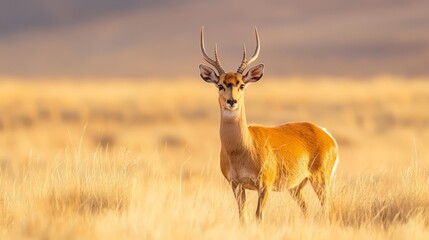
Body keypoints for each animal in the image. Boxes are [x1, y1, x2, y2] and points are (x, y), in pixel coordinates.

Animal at [199, 26, 340, 223]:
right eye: (220, 85)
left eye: (242, 85)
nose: (231, 101)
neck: (242, 148)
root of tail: (326, 134)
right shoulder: (236, 185)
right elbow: (243, 217)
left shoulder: (264, 185)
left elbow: (259, 216)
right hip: (296, 187)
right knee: (307, 209)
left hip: (320, 180)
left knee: (326, 208)